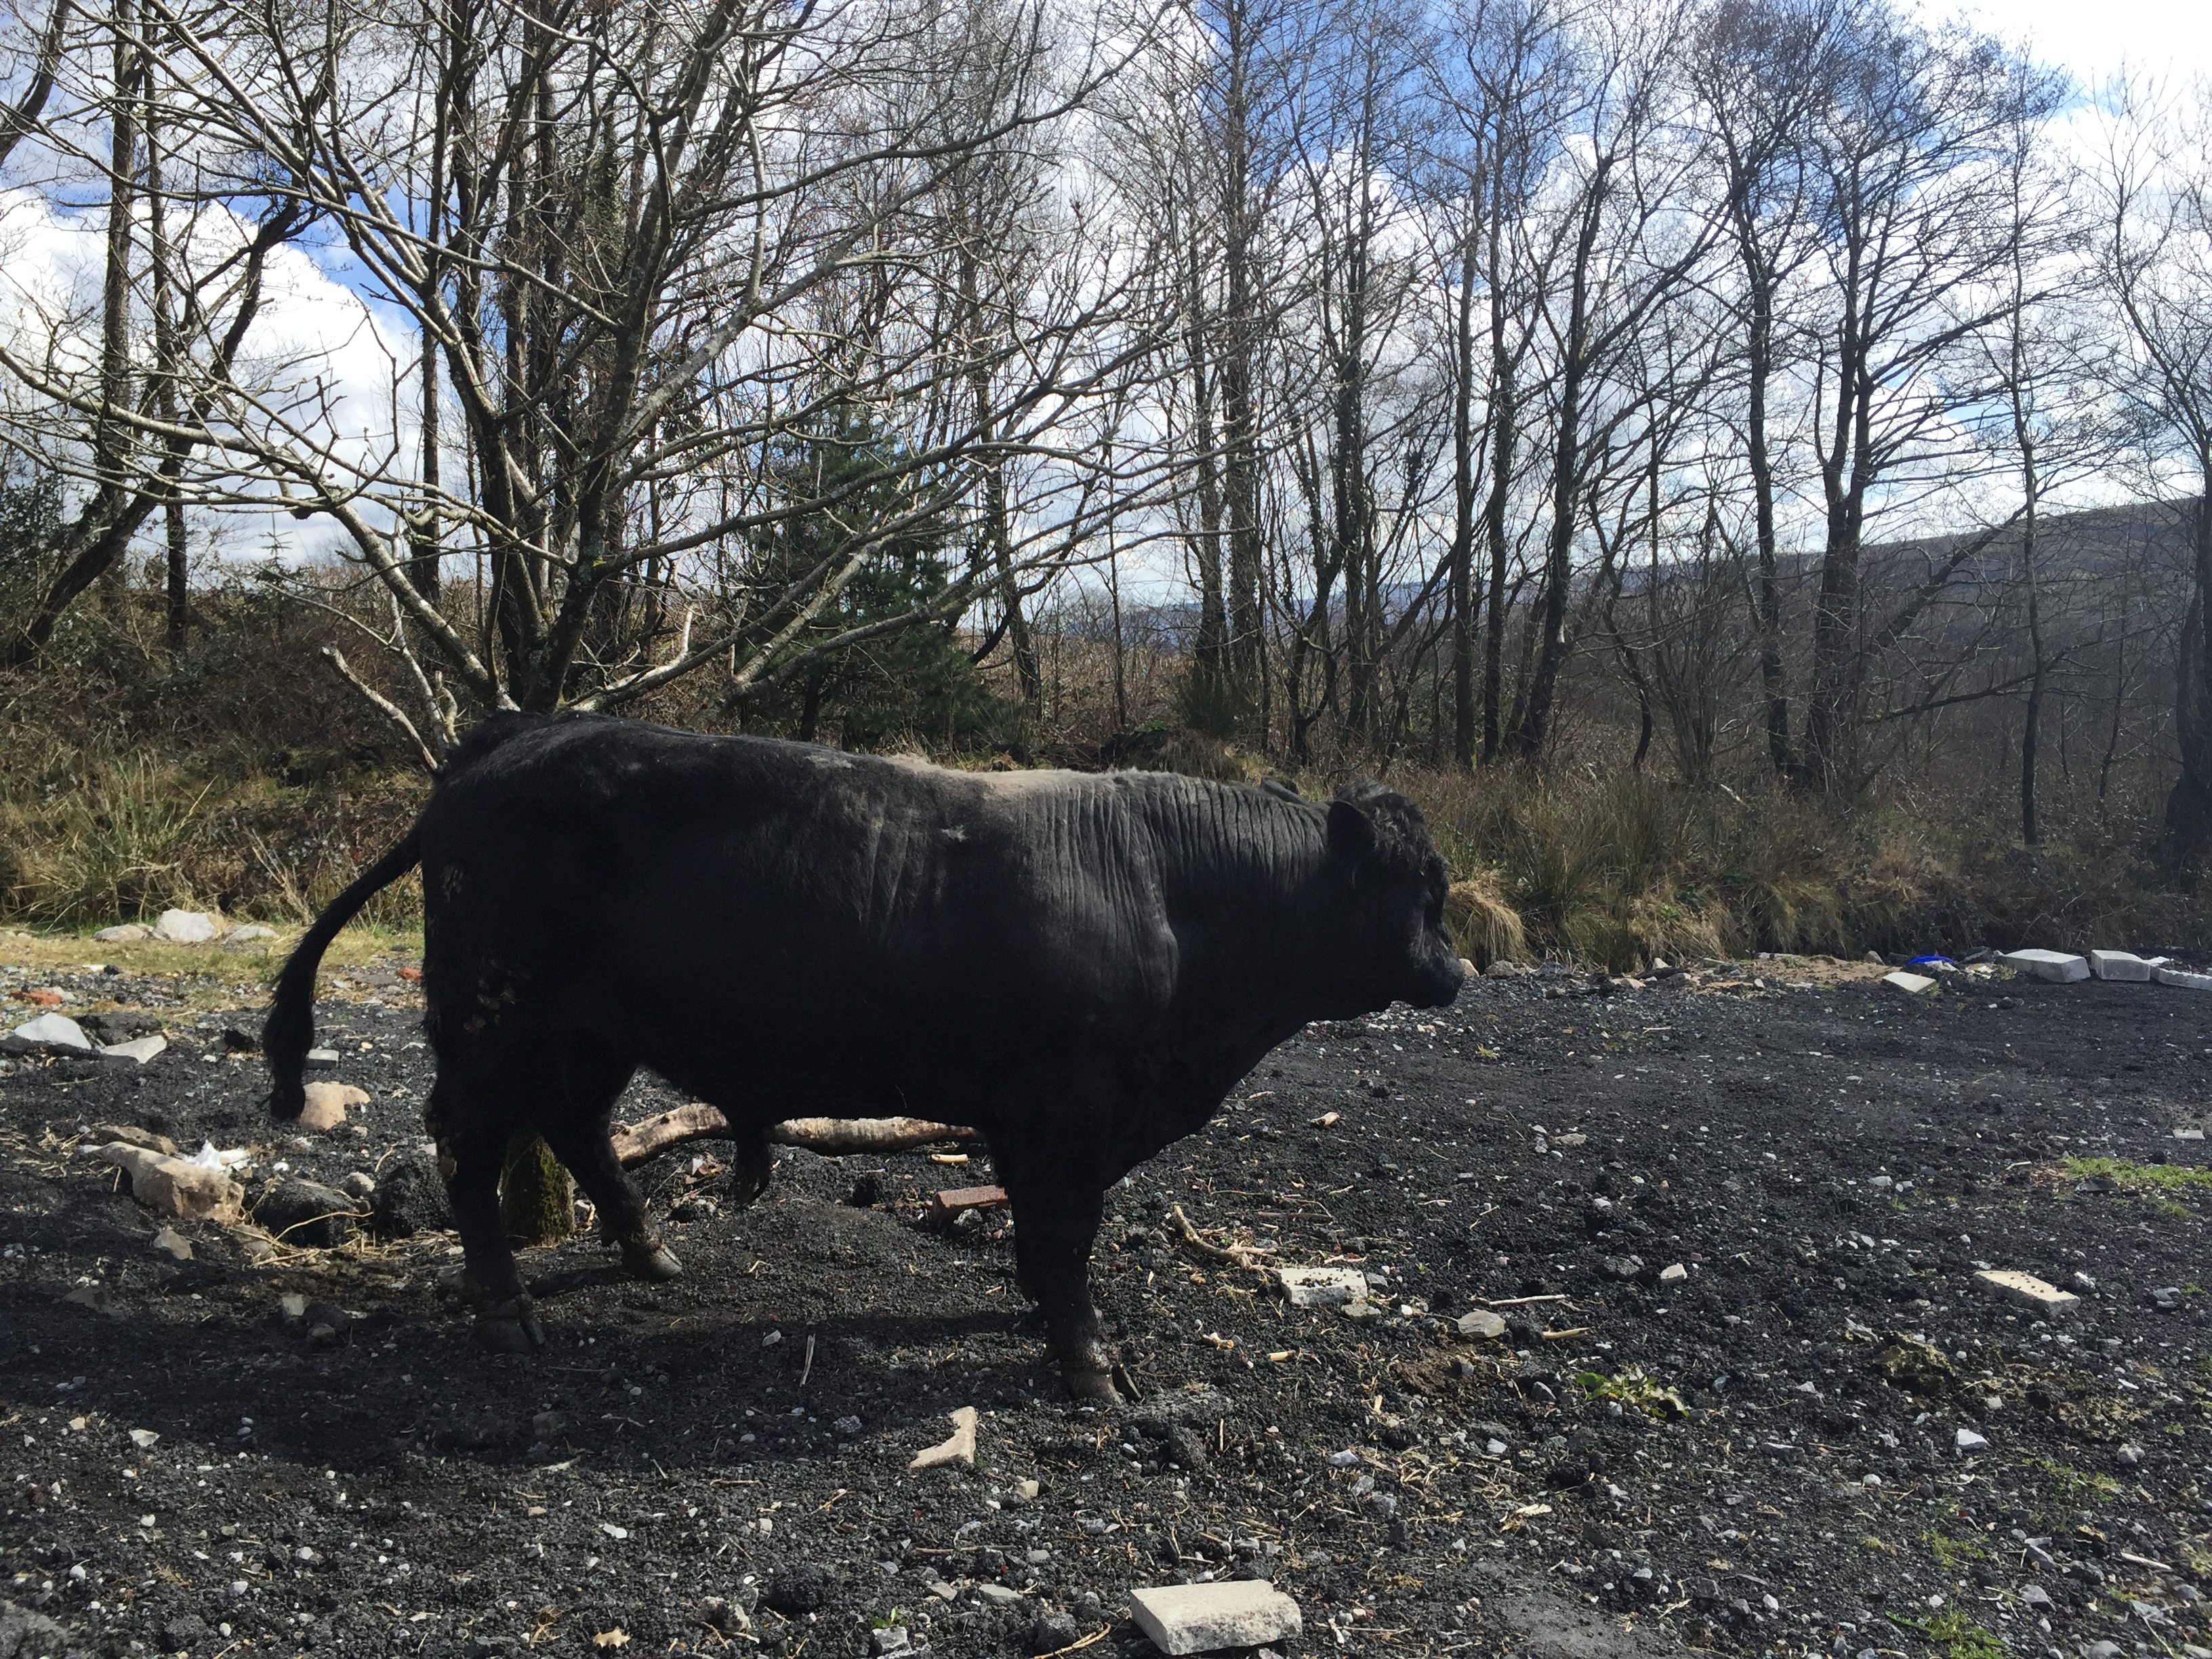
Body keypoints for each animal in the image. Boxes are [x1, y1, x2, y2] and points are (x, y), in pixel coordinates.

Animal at [264, 712, 1464, 1401]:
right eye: (1423, 887)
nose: (1456, 971)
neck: (1171, 888)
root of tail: (500, 744)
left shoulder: (1031, 1118)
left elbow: (1039, 1234)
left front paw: (1036, 1313)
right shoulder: (1068, 1111)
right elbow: (1066, 1233)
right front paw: (1085, 1362)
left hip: (590, 1034)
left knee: (576, 1127)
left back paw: (649, 1251)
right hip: (494, 1025)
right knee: (469, 1151)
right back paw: (505, 1311)